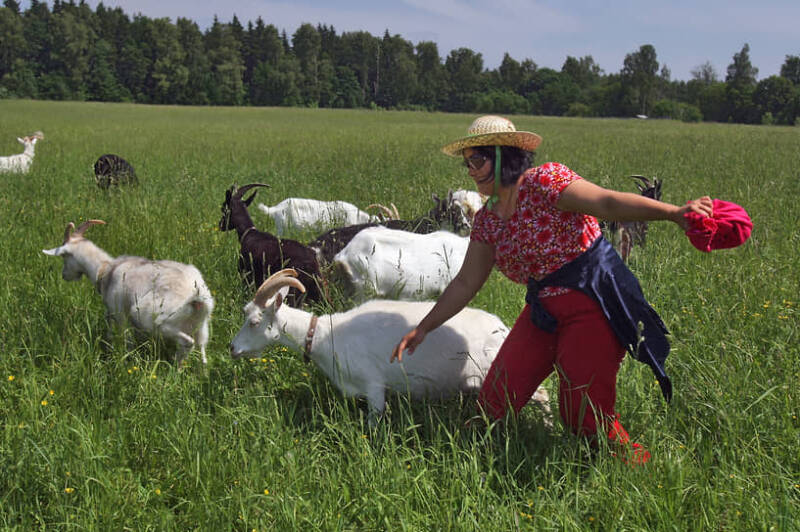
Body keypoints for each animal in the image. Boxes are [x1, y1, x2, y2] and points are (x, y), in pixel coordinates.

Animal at [42, 218, 214, 364]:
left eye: (64, 256)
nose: (64, 275)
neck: (105, 269)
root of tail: (196, 294)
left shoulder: (119, 315)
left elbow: (125, 341)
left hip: (153, 318)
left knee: (187, 343)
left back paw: (174, 370)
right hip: (201, 325)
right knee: (202, 353)